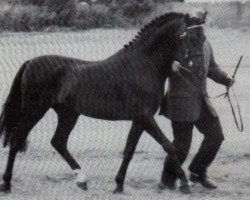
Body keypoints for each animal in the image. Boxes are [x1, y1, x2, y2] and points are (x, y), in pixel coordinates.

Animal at [0, 12, 193, 194]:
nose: (190, 62)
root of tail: (30, 63)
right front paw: (185, 184)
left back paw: (82, 180)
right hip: (34, 110)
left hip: (68, 114)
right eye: (185, 35)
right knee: (16, 140)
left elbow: (129, 150)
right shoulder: (145, 117)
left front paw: (119, 185)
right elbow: (168, 146)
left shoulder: (140, 120)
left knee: (58, 142)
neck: (142, 65)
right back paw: (7, 184)